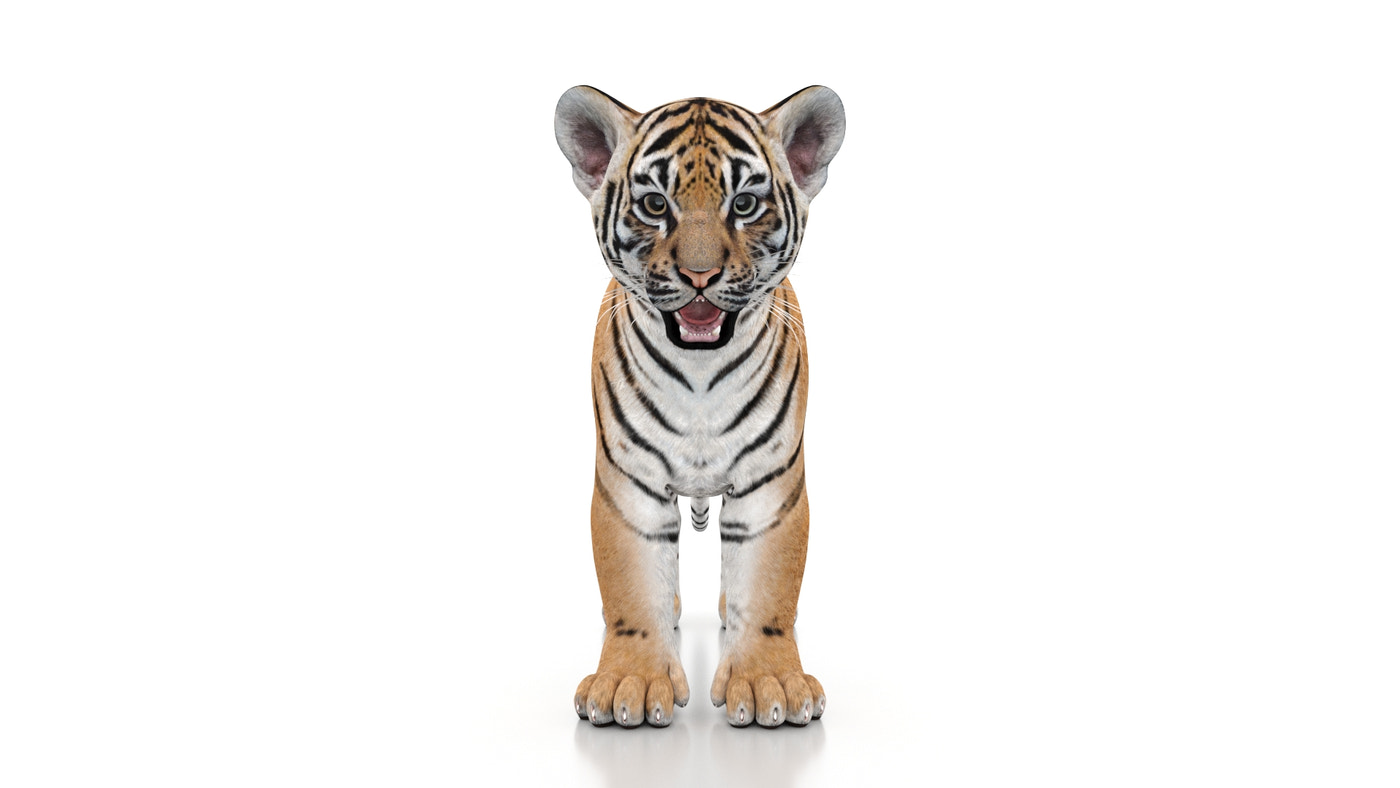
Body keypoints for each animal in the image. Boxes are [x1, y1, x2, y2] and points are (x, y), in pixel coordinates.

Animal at [554, 85, 845, 728]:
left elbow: (768, 588)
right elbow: (632, 586)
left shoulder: (770, 486)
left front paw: (768, 685)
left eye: (745, 203)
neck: (700, 374)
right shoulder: (629, 485)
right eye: (654, 204)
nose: (700, 276)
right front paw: (630, 684)